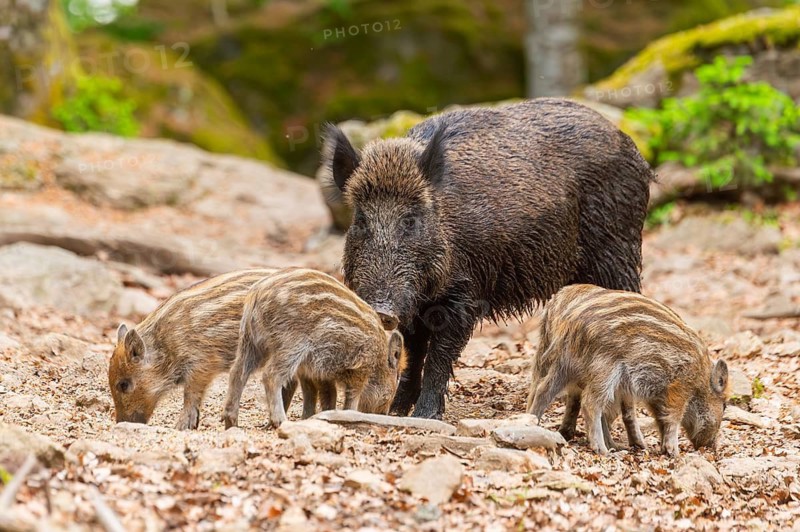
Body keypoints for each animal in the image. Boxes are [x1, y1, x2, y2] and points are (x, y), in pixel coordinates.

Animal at [108, 268, 277, 429]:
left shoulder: (202, 365)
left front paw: (181, 427)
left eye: (124, 384)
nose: (121, 422)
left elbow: (190, 394)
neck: (167, 345)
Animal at [222, 268, 405, 429]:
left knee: (237, 372)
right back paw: (281, 421)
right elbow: (351, 397)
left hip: (250, 342)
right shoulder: (359, 368)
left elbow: (327, 395)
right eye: (397, 377)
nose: (384, 412)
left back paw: (231, 423)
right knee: (270, 375)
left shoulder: (320, 373)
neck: (379, 356)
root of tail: (256, 294)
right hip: (290, 344)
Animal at [324, 98, 653, 419]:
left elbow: (439, 356)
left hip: (617, 250)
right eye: (361, 219)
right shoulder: (414, 303)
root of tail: (629, 144)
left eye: (411, 219)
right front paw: (396, 411)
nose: (381, 310)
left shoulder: (463, 295)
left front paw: (425, 416)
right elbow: (414, 352)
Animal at [526, 284, 729, 456]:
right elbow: (672, 418)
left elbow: (659, 419)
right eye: (724, 406)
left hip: (564, 365)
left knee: (543, 389)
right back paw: (603, 450)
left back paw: (533, 423)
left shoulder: (654, 396)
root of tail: (568, 321)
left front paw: (662, 449)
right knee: (590, 402)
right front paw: (674, 452)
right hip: (604, 369)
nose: (711, 447)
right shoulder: (679, 388)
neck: (702, 378)